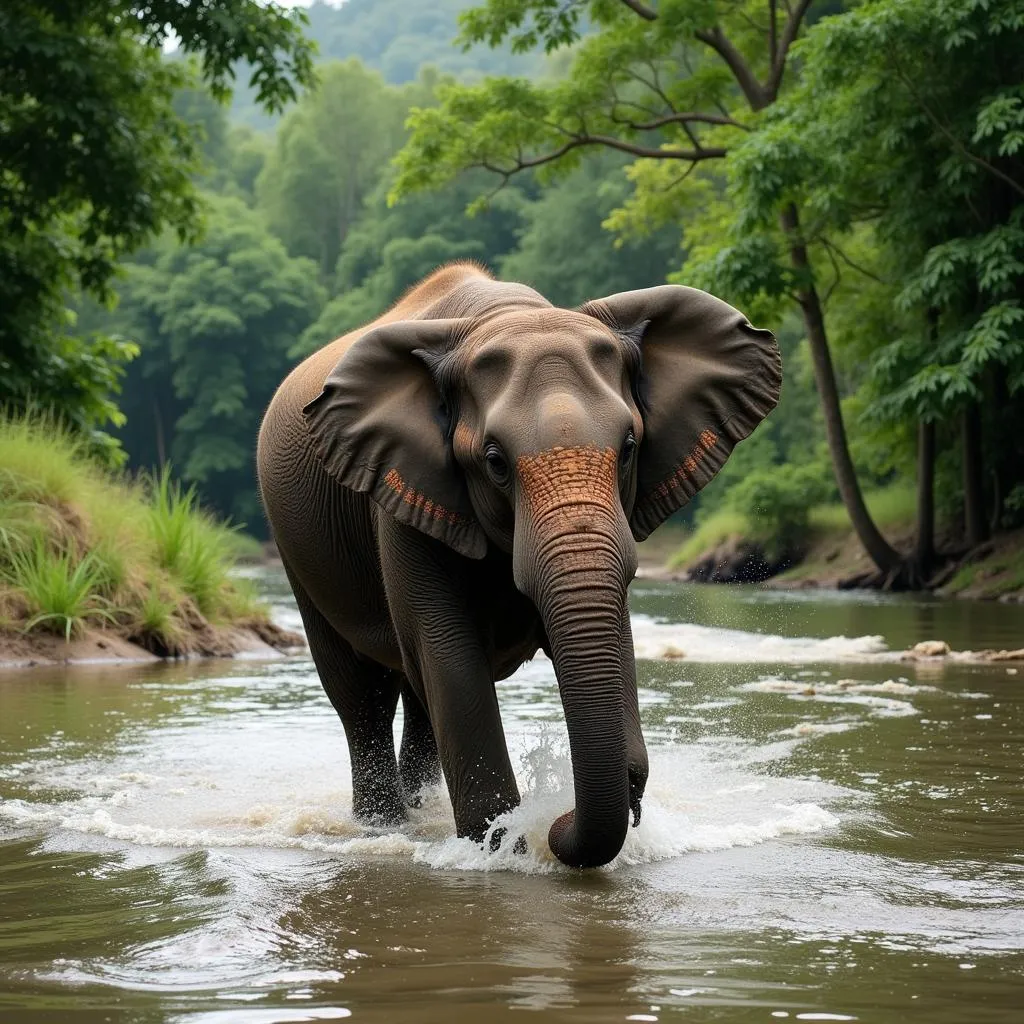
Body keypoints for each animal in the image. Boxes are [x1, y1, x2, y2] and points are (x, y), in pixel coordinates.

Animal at [256, 260, 774, 868]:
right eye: (495, 462)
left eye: (629, 447)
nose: (560, 821)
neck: (504, 316)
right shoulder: (400, 498)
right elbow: (448, 654)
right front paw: (503, 849)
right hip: (296, 550)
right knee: (363, 696)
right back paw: (382, 829)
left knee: (417, 700)